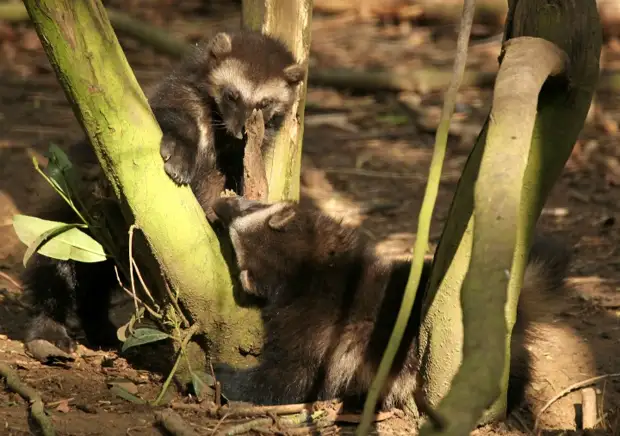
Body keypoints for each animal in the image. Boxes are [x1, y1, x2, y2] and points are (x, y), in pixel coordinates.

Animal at [21, 29, 306, 356]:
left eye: (265, 102)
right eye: (232, 94)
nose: (241, 132)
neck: (219, 129)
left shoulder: (245, 152)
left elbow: (228, 178)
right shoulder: (175, 97)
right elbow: (170, 121)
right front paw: (181, 151)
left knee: (96, 284)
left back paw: (98, 324)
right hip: (70, 222)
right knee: (52, 271)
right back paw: (47, 325)